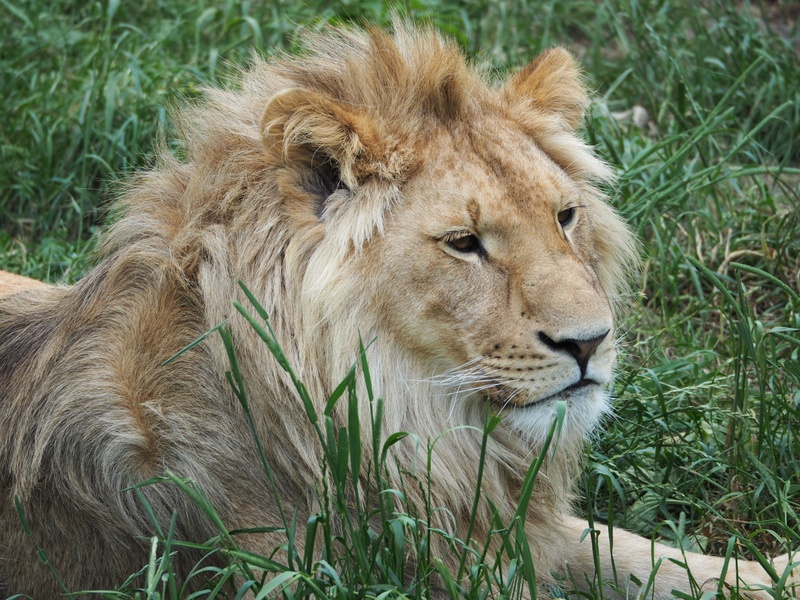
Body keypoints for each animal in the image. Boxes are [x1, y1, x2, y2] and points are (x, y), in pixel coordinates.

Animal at [0, 22, 795, 599]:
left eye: (565, 217)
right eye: (465, 243)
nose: (590, 343)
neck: (419, 417)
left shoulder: (502, 522)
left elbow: (627, 548)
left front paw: (770, 573)